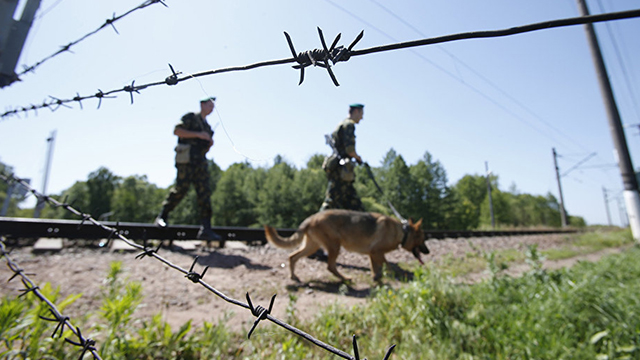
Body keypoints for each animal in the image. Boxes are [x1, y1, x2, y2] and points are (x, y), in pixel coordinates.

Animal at [264, 210, 430, 282]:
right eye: (423, 239)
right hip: (334, 246)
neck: (403, 232)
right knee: (330, 266)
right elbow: (387, 264)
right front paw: (392, 274)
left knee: (292, 257)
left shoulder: (372, 254)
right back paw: (344, 278)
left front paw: (377, 277)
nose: (428, 252)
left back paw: (293, 276)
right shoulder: (377, 252)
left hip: (312, 247)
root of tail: (311, 218)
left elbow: (376, 267)